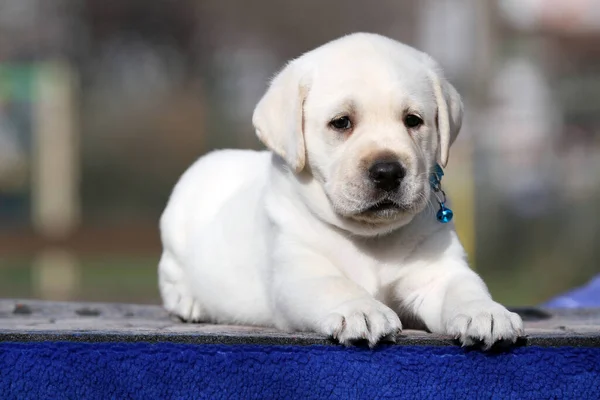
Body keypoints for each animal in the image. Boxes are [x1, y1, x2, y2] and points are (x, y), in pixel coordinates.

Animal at [157, 32, 524, 348]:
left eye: (413, 120)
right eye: (342, 122)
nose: (388, 172)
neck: (371, 238)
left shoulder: (437, 271)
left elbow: (464, 287)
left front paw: (486, 312)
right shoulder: (300, 271)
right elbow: (335, 285)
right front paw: (362, 310)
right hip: (176, 228)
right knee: (171, 276)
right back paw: (190, 302)